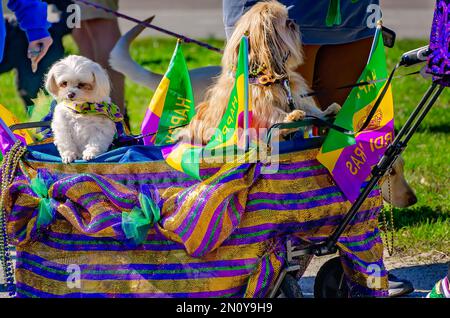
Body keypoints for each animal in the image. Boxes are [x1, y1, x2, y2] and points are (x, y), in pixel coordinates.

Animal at [178, 0, 340, 144]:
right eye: (287, 23)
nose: (294, 20)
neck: (266, 76)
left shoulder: (292, 96)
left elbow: (309, 109)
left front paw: (325, 112)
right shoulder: (257, 105)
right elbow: (272, 114)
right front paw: (290, 118)